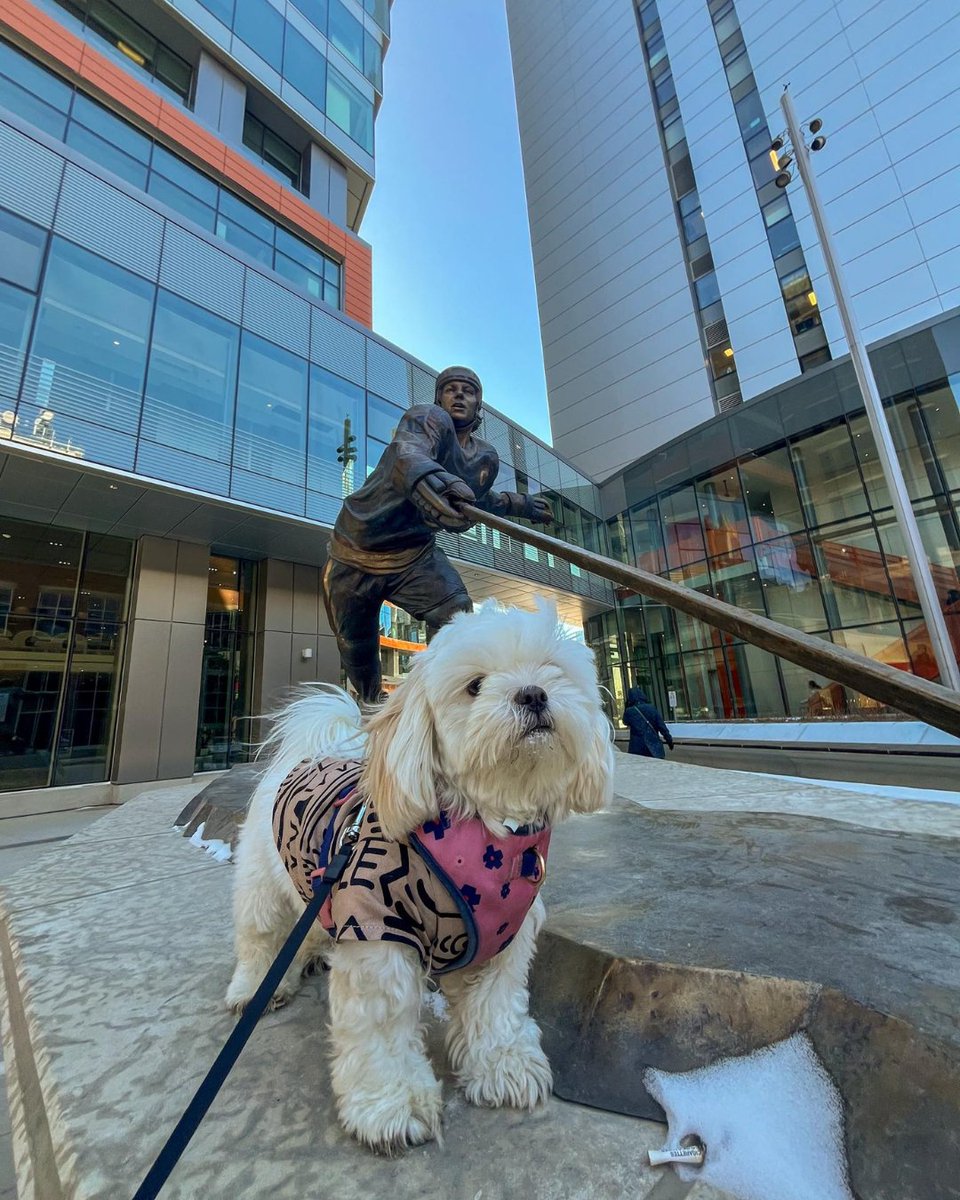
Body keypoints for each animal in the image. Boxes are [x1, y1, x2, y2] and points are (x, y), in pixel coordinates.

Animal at [229, 600, 612, 1152]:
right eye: (475, 685)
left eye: (551, 671)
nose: (533, 693)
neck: (484, 835)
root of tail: (312, 752)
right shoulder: (376, 930)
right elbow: (383, 1025)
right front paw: (392, 1106)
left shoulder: (501, 939)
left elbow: (496, 1007)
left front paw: (504, 1066)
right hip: (262, 882)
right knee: (259, 937)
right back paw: (255, 988)